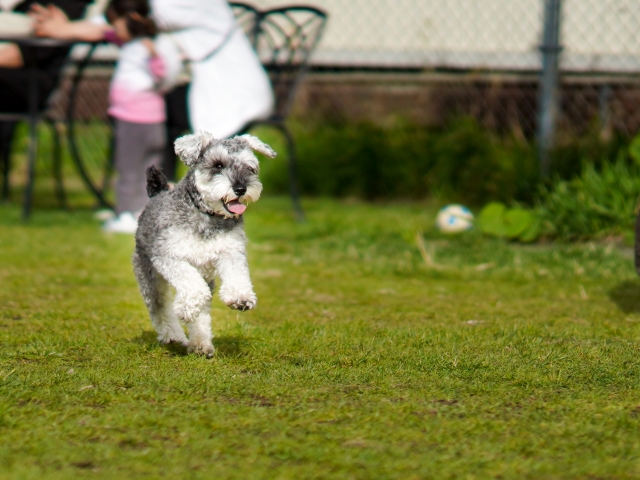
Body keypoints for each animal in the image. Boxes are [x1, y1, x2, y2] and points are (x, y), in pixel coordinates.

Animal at [132, 130, 276, 356]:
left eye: (249, 167)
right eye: (217, 165)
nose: (241, 188)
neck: (207, 216)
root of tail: (158, 192)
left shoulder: (231, 251)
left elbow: (237, 275)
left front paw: (240, 297)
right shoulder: (169, 256)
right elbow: (191, 284)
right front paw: (186, 307)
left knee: (203, 309)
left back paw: (200, 344)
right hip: (148, 273)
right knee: (160, 307)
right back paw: (174, 336)